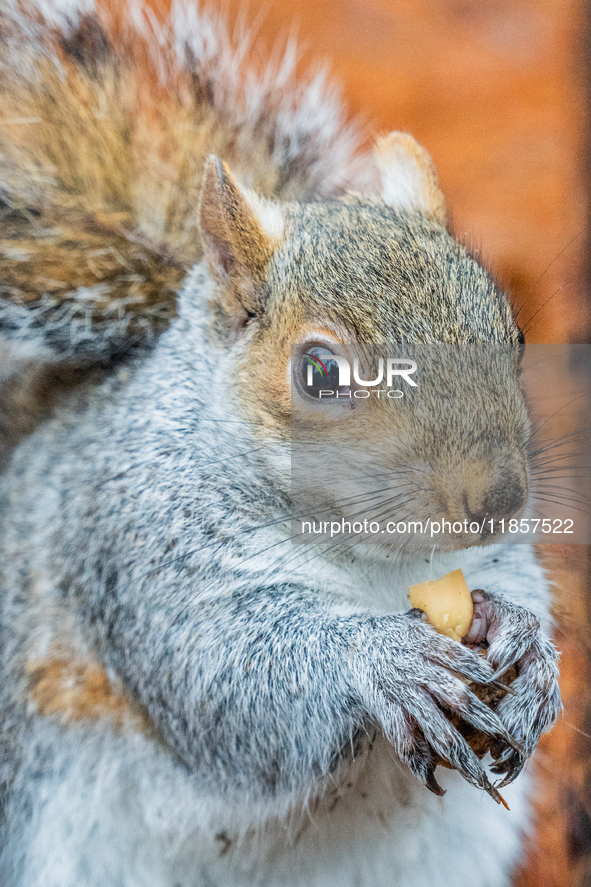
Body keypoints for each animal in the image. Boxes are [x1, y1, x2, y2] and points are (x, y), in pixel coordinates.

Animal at [0, 1, 564, 887]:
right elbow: (227, 683)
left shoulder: (485, 553)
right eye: (320, 372)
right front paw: (382, 658)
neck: (373, 561)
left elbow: (514, 583)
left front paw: (527, 644)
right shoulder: (133, 552)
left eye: (510, 332)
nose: (498, 498)